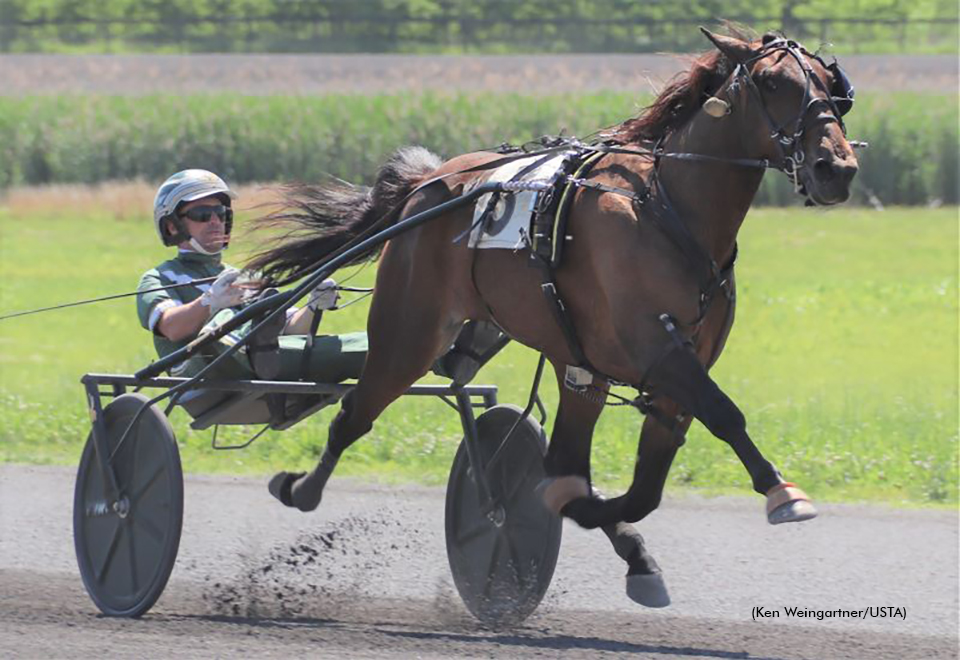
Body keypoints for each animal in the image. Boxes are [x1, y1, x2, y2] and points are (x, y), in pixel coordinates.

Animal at [244, 29, 860, 608]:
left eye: (832, 88)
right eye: (773, 82)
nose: (837, 168)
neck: (668, 209)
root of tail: (429, 184)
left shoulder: (672, 369)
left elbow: (644, 484)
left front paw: (589, 517)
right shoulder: (657, 351)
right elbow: (724, 416)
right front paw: (783, 493)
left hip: (574, 365)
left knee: (563, 456)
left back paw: (621, 548)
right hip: (408, 333)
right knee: (353, 415)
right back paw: (300, 489)